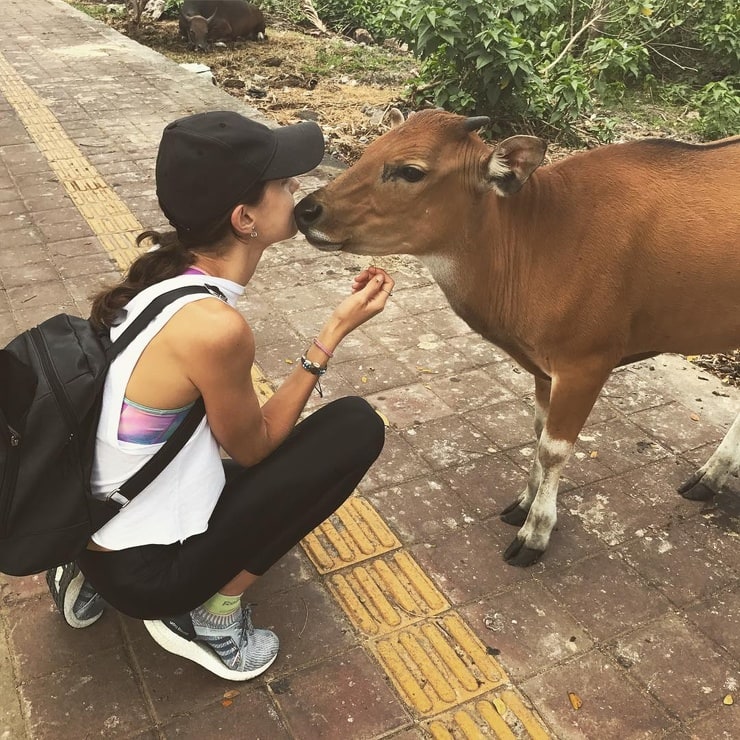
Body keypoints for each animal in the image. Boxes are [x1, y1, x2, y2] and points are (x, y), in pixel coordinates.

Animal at [294, 107, 740, 568]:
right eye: (371, 149)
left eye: (410, 170)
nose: (306, 209)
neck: (539, 240)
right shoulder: (545, 369)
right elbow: (539, 432)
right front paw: (523, 503)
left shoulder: (586, 363)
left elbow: (554, 448)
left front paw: (535, 533)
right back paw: (708, 478)